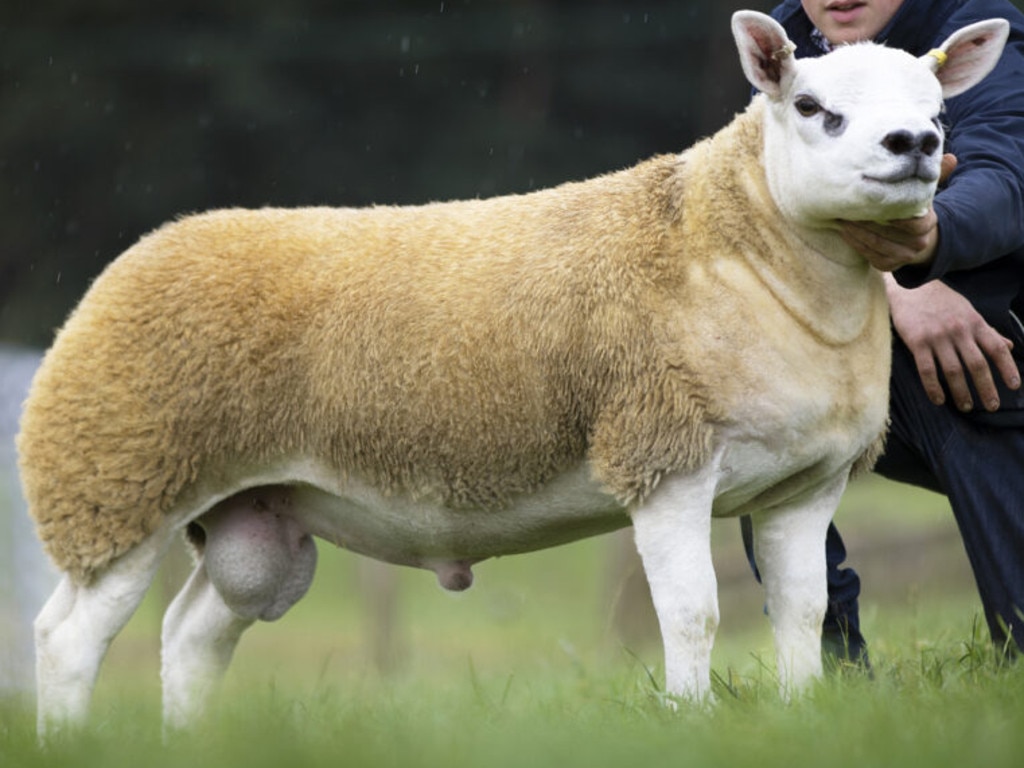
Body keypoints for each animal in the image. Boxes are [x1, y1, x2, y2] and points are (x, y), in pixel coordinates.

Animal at [16, 9, 1007, 737]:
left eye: (938, 107)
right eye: (810, 105)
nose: (913, 143)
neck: (745, 251)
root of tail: (141, 253)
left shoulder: (807, 484)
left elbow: (802, 614)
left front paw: (800, 719)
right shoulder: (662, 456)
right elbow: (693, 614)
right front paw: (687, 722)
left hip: (252, 515)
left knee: (190, 636)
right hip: (116, 479)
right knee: (66, 639)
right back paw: (69, 742)